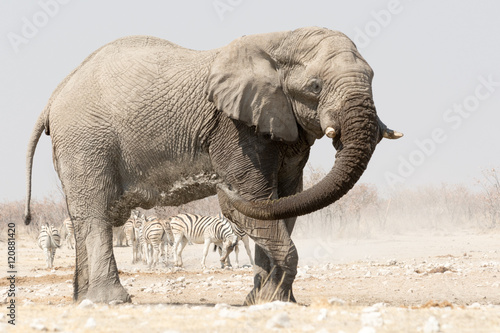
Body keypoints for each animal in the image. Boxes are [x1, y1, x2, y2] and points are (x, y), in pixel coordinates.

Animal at [25, 26, 402, 304]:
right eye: (315, 86)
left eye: (372, 76)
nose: (219, 187)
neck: (279, 40)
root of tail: (54, 97)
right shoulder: (233, 129)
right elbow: (256, 199)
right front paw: (270, 300)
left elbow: (285, 200)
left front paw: (265, 300)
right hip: (86, 140)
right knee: (96, 214)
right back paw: (111, 300)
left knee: (83, 217)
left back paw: (84, 300)